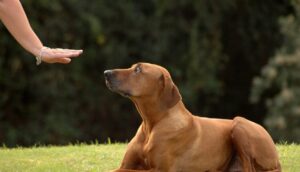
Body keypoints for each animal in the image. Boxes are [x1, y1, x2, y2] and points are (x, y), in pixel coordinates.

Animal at [103, 63, 282, 172]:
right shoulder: (127, 163)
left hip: (239, 124)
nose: (106, 73)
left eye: (138, 70)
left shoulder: (160, 170)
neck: (151, 124)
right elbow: (117, 169)